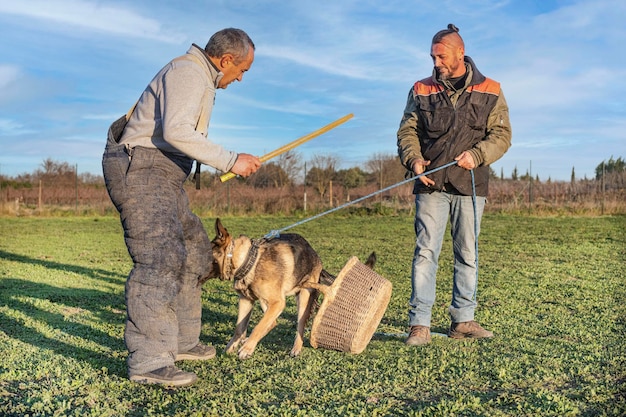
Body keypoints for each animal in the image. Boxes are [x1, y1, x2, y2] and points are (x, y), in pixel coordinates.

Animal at [210, 218, 376, 358]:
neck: (249, 260)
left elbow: (258, 326)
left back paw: (296, 349)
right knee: (272, 322)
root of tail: (316, 257)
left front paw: (246, 349)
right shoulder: (246, 300)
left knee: (299, 326)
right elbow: (240, 328)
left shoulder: (278, 303)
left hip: (302, 299)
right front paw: (232, 346)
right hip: (268, 302)